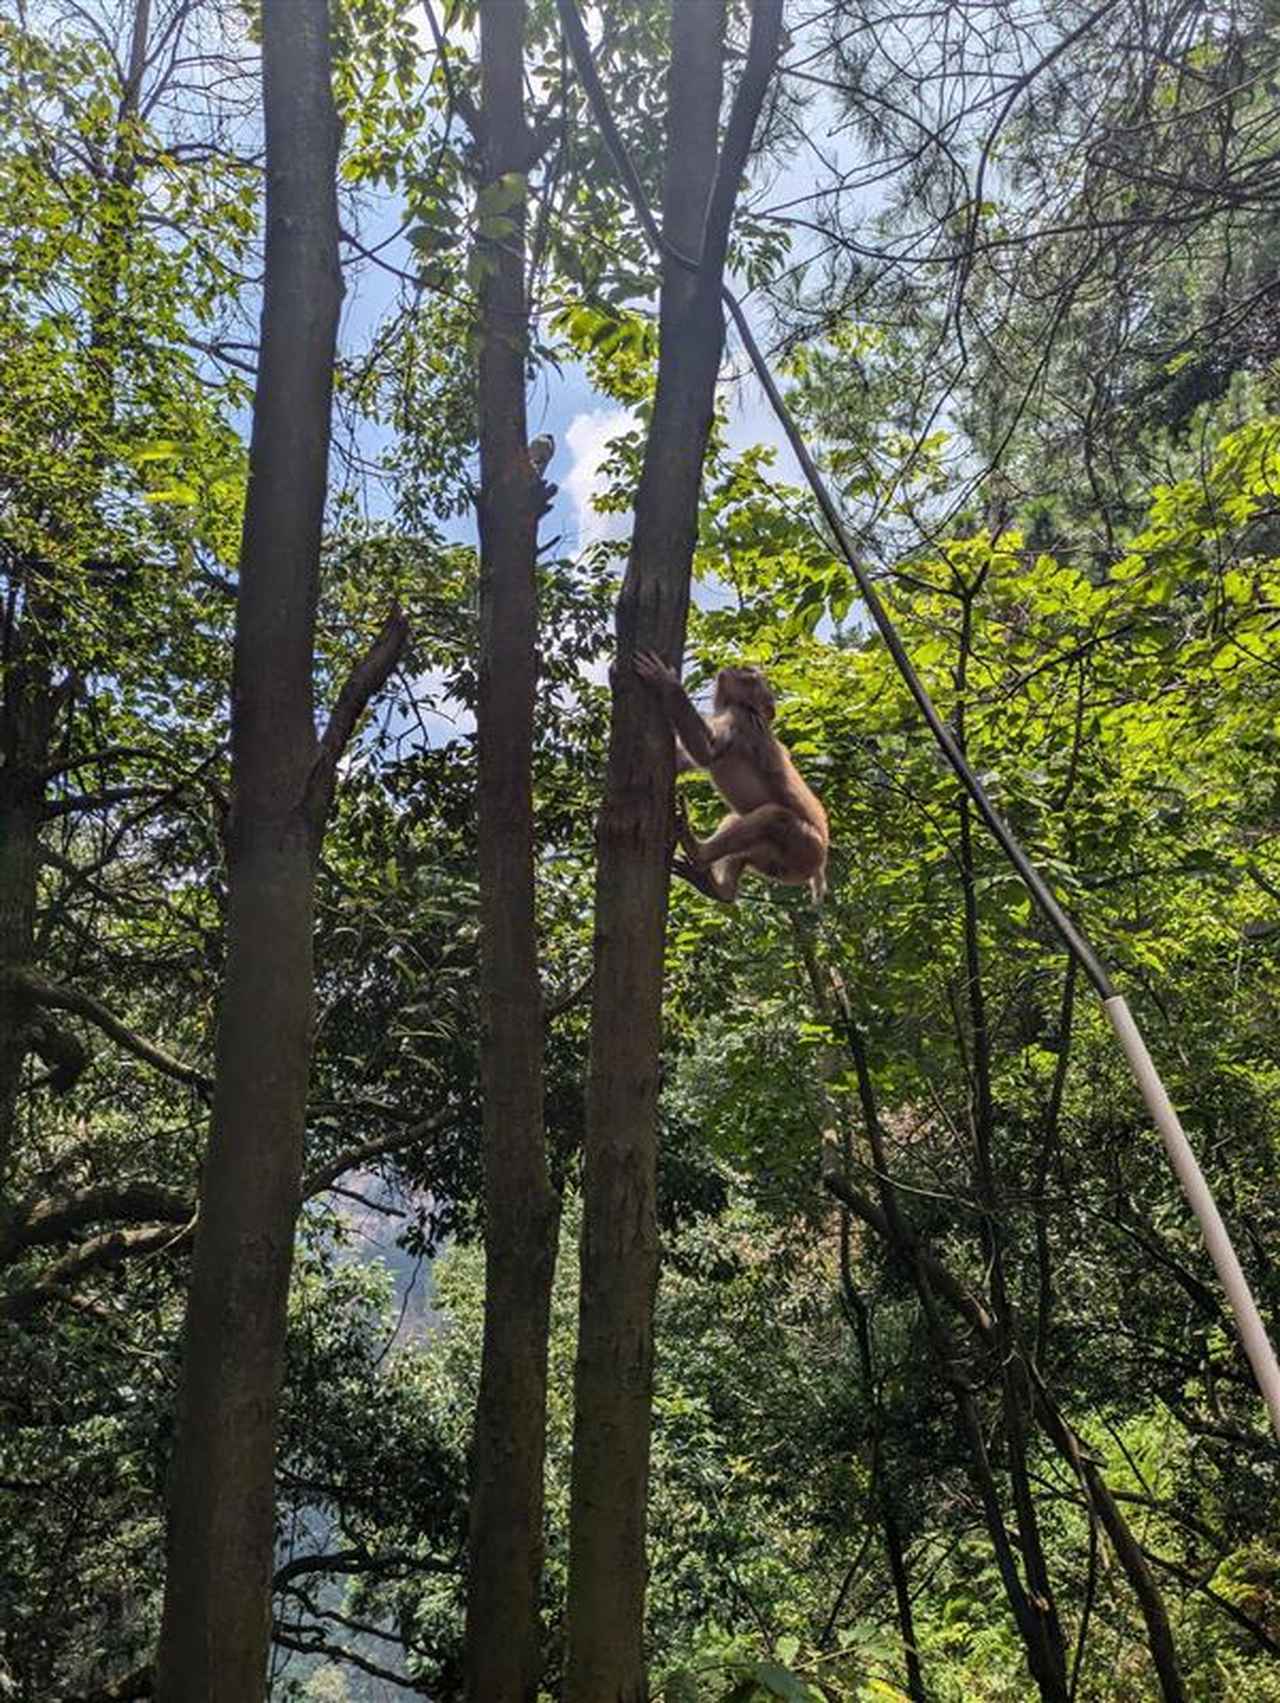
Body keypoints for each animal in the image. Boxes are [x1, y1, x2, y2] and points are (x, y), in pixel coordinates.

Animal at [634, 651, 828, 904]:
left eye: (750, 672)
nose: (736, 665)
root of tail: (819, 868)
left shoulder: (739, 719)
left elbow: (706, 752)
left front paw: (668, 683)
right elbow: (687, 760)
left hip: (805, 847)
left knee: (775, 817)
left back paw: (699, 852)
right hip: (776, 862)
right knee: (740, 831)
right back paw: (720, 889)